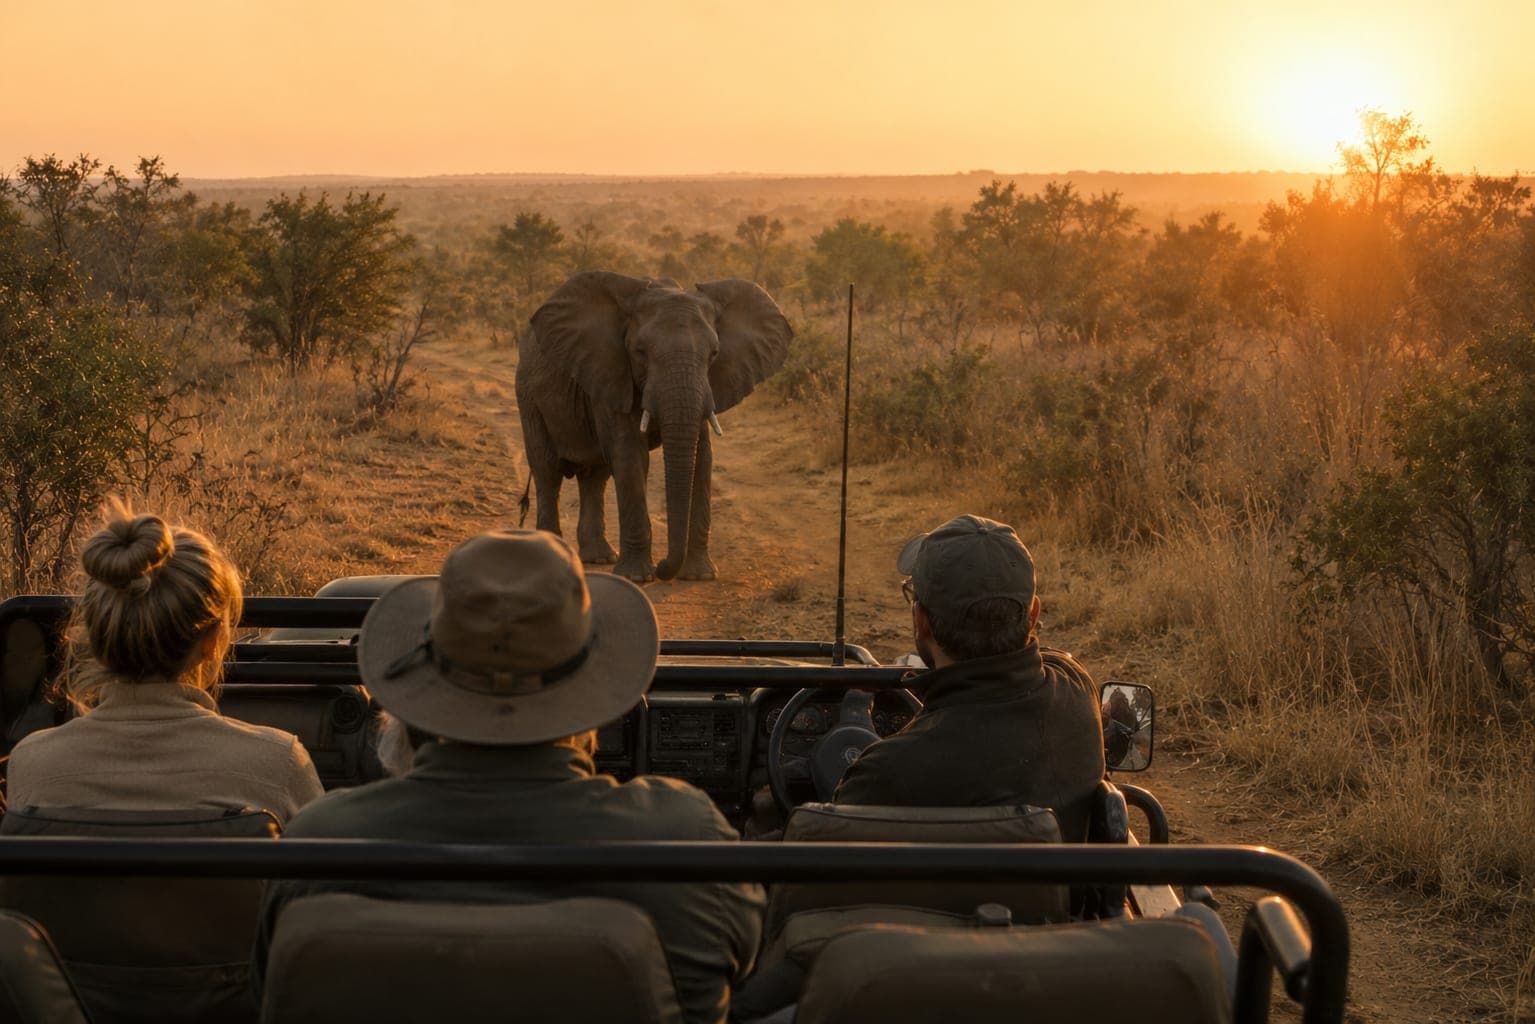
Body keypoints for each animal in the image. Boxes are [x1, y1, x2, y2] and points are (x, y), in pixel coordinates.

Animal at [517, 271, 794, 582]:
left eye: (714, 353)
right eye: (640, 352)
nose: (663, 569)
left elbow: (701, 458)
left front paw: (699, 576)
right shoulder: (614, 374)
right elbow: (630, 456)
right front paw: (637, 577)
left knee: (595, 477)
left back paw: (600, 557)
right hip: (528, 397)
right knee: (547, 471)